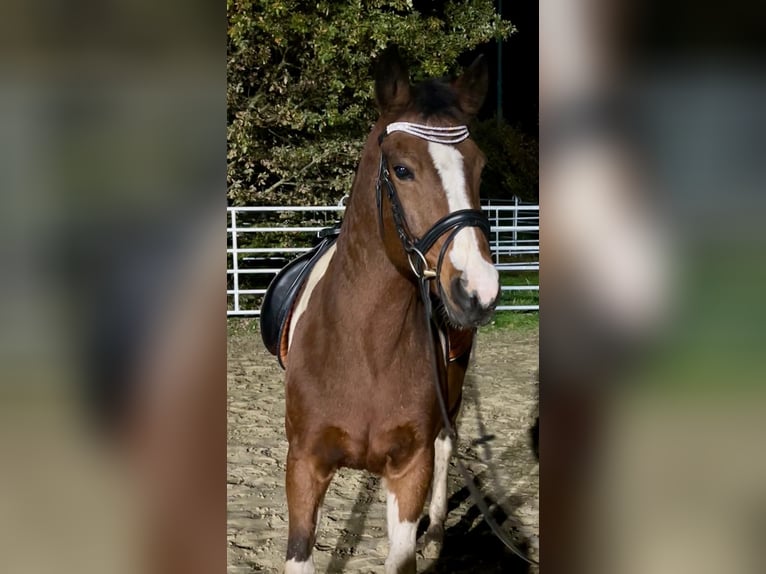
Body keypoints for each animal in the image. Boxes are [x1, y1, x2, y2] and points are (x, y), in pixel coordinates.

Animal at [280, 48, 499, 574]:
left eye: (480, 167)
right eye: (401, 169)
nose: (479, 290)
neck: (365, 349)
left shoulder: (409, 468)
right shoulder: (303, 465)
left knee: (446, 443)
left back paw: (436, 534)